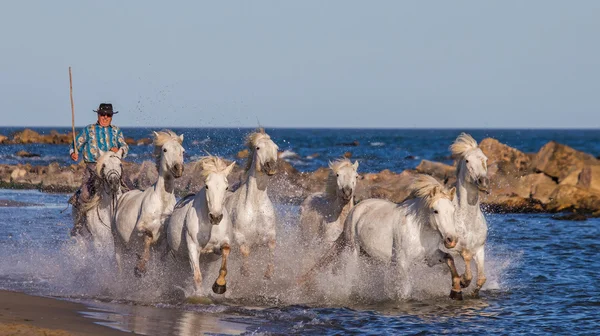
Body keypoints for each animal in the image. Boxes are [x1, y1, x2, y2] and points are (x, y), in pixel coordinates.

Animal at [113, 129, 185, 276]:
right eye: (164, 149)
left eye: (183, 151)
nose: (178, 168)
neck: (162, 203)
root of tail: (123, 196)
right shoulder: (140, 227)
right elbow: (148, 237)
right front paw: (140, 267)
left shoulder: (166, 238)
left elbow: (163, 252)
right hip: (118, 244)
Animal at [168, 156, 238, 296]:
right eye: (207, 186)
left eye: (226, 187)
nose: (215, 217)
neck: (210, 226)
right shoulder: (193, 248)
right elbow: (197, 276)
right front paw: (200, 295)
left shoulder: (219, 247)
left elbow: (225, 255)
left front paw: (219, 285)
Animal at [224, 129, 280, 278]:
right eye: (258, 148)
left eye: (276, 148)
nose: (271, 166)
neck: (255, 206)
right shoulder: (238, 235)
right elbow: (245, 250)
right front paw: (245, 271)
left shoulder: (269, 234)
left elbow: (272, 245)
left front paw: (269, 272)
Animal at [300, 173, 464, 300]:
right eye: (435, 211)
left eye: (453, 210)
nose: (451, 239)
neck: (419, 230)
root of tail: (357, 208)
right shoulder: (402, 262)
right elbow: (405, 290)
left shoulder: (430, 257)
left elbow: (449, 258)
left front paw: (457, 290)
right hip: (353, 250)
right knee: (350, 275)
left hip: (370, 256)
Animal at [448, 133, 490, 296]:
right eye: (467, 160)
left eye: (485, 159)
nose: (483, 181)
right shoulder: (453, 250)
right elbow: (465, 263)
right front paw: (462, 282)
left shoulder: (479, 249)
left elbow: (481, 278)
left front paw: (473, 292)